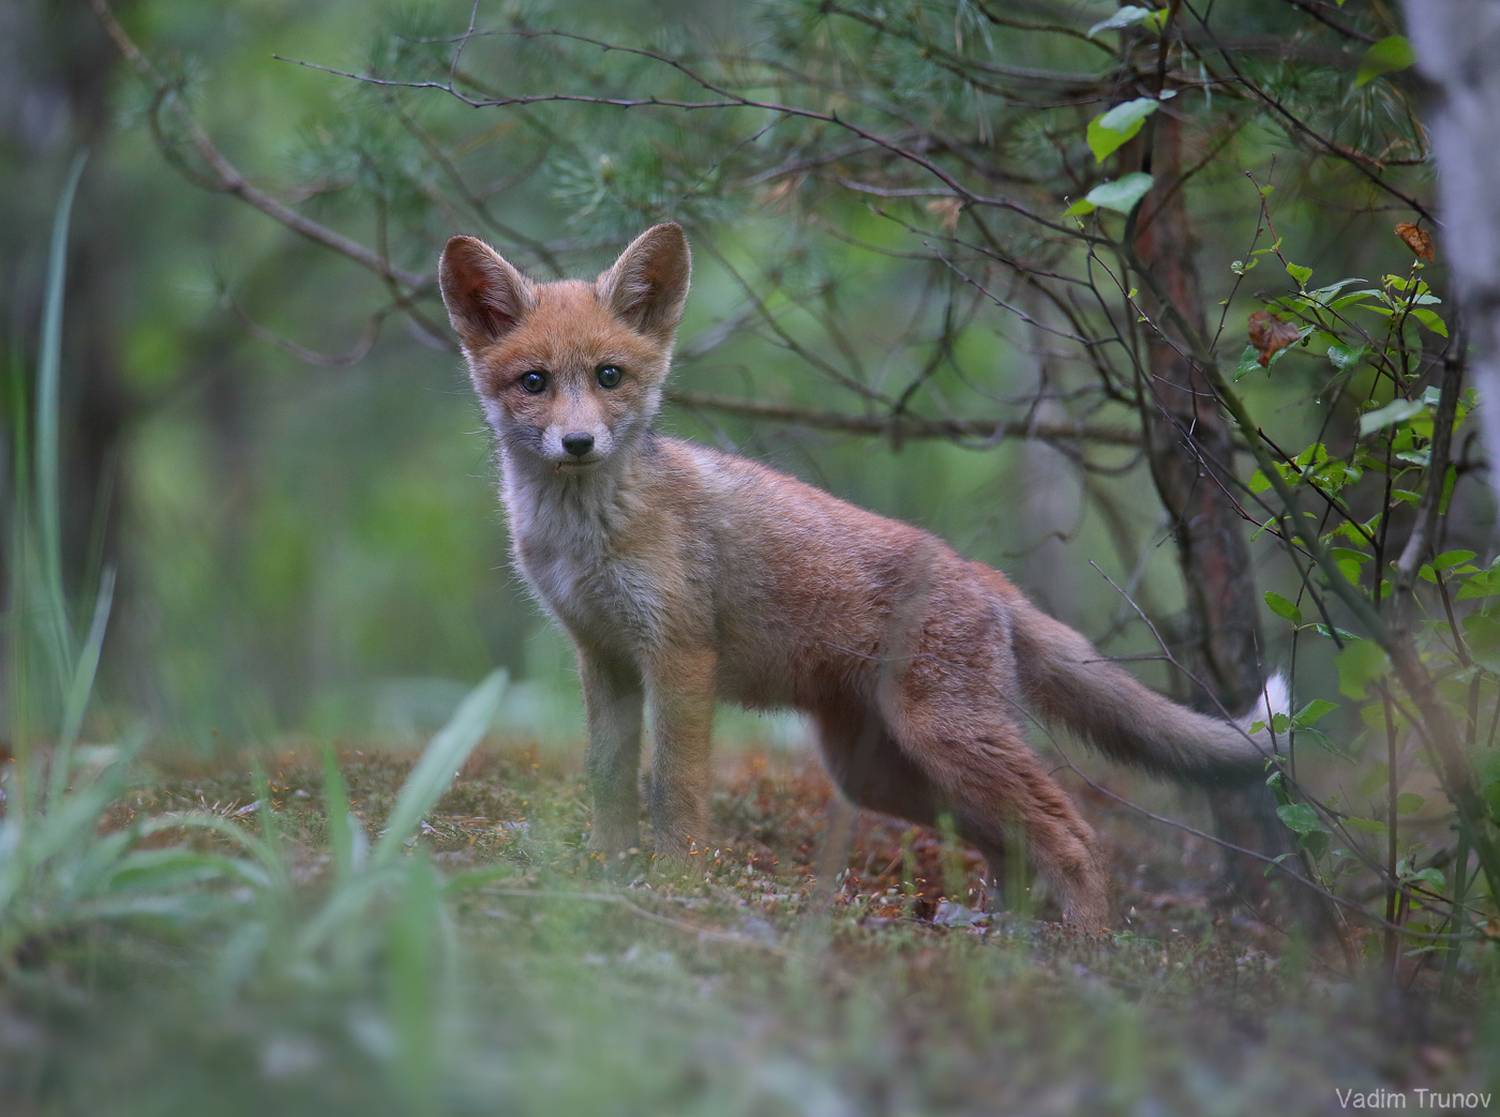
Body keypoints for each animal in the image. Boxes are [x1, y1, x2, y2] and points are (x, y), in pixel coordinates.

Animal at [437, 221, 1287, 928]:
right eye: (536, 382)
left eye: (609, 375)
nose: (579, 443)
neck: (586, 533)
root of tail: (984, 575)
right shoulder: (606, 658)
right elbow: (610, 782)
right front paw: (606, 877)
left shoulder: (678, 657)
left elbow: (673, 789)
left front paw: (676, 885)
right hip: (882, 773)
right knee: (1009, 842)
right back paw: (1001, 944)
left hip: (948, 741)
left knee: (1072, 832)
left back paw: (1087, 952)